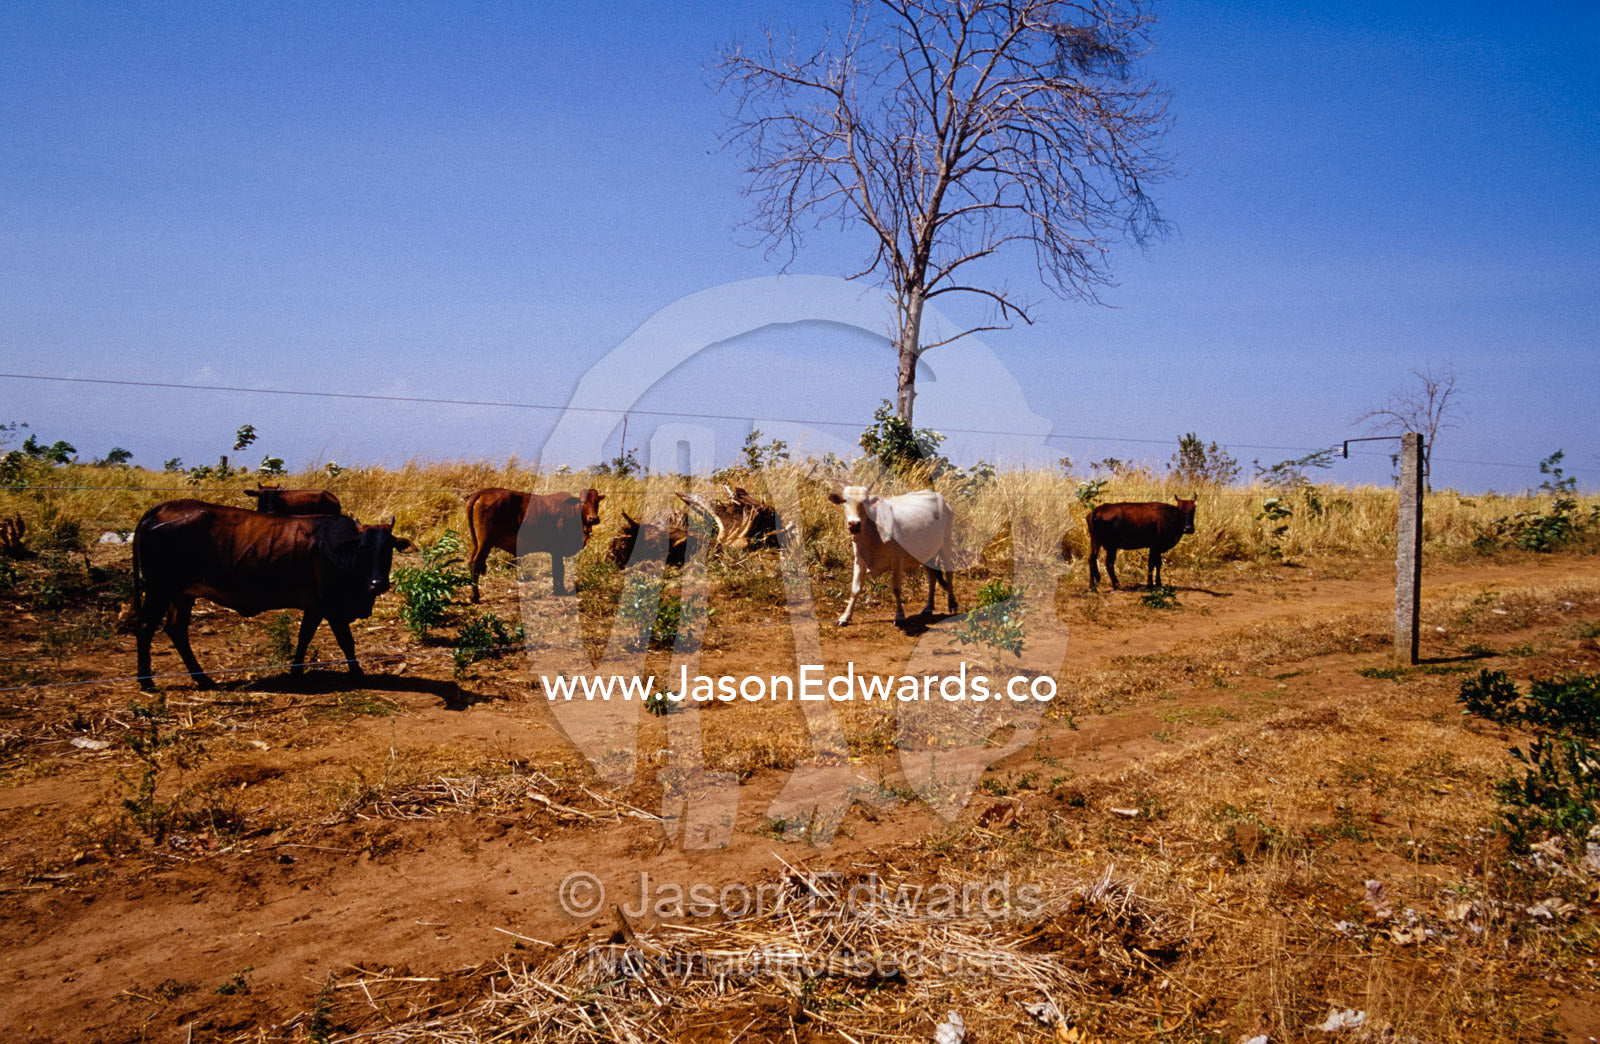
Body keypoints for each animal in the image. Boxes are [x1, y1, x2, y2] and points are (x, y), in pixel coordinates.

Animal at [130, 500, 413, 691]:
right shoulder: (332, 608)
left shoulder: (314, 607)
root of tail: (158, 510)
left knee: (176, 630)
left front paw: (296, 674)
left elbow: (304, 638)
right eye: (363, 548)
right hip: (160, 589)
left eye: (389, 548)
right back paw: (147, 681)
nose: (378, 583)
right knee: (145, 627)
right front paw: (358, 674)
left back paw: (203, 678)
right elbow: (346, 642)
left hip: (182, 594)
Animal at [463, 487, 604, 601]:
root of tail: (482, 492)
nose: (594, 518)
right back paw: (475, 597)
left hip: (476, 543)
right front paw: (561, 591)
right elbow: (559, 570)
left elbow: (557, 570)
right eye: (582, 502)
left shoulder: (555, 552)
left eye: (597, 502)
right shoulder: (557, 549)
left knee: (471, 563)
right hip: (485, 543)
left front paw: (557, 590)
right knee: (475, 564)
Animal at [828, 486, 958, 626]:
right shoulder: (859, 561)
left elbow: (896, 589)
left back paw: (952, 604)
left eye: (865, 502)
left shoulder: (897, 560)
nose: (854, 524)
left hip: (946, 542)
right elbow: (855, 589)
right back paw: (929, 607)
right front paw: (845, 617)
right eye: (845, 501)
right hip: (927, 553)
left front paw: (899, 616)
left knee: (949, 573)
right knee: (932, 575)